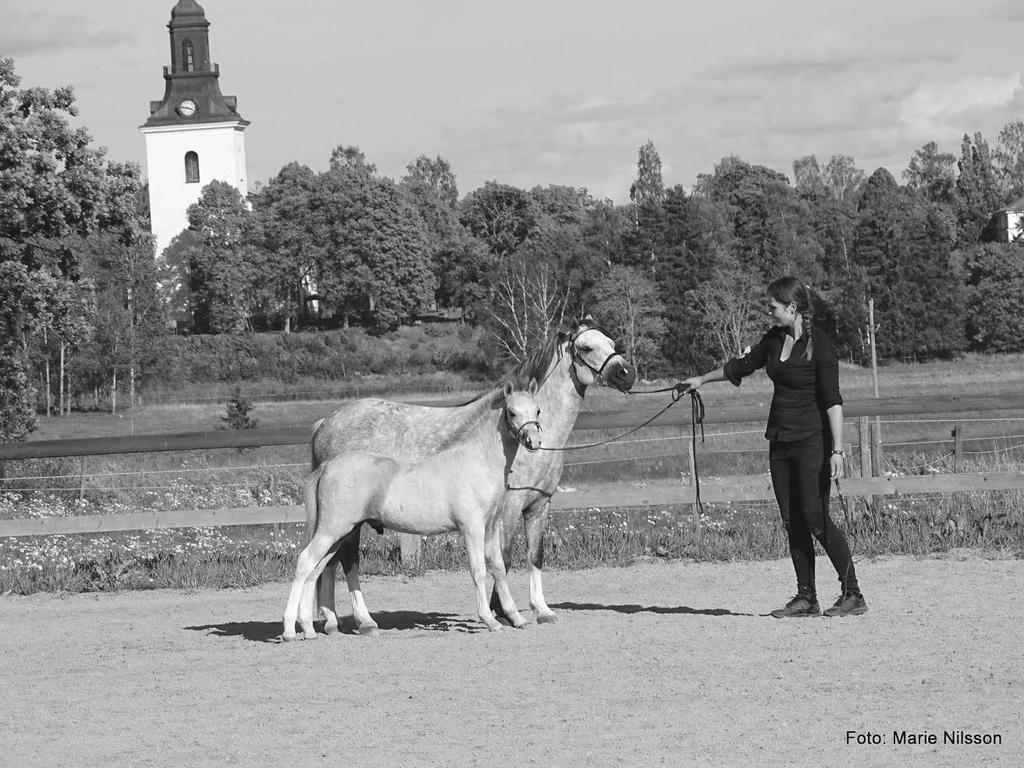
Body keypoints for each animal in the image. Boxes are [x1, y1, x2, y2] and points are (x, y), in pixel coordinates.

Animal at [280, 382, 544, 638]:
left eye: (538, 410)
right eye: (512, 412)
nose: (534, 441)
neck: (477, 462)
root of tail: (327, 466)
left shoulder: (490, 528)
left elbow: (498, 568)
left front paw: (516, 618)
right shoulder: (472, 528)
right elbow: (478, 571)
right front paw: (490, 621)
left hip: (339, 534)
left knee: (317, 569)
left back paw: (310, 628)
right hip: (332, 530)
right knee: (306, 562)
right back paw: (291, 630)